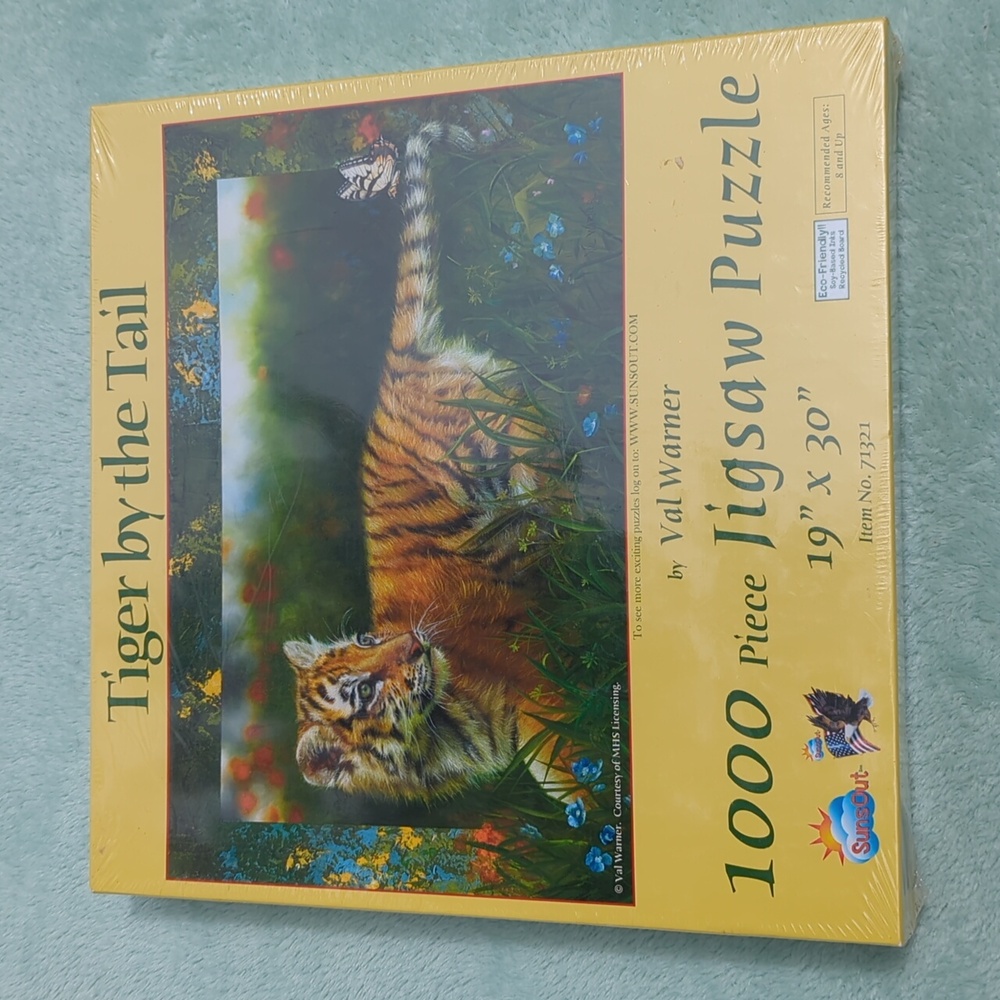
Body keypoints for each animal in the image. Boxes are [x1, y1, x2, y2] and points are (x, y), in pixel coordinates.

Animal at [284, 122, 567, 803]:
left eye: (366, 638)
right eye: (361, 690)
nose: (413, 642)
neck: (439, 734)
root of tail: (394, 367)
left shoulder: (540, 681)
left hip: (502, 447)